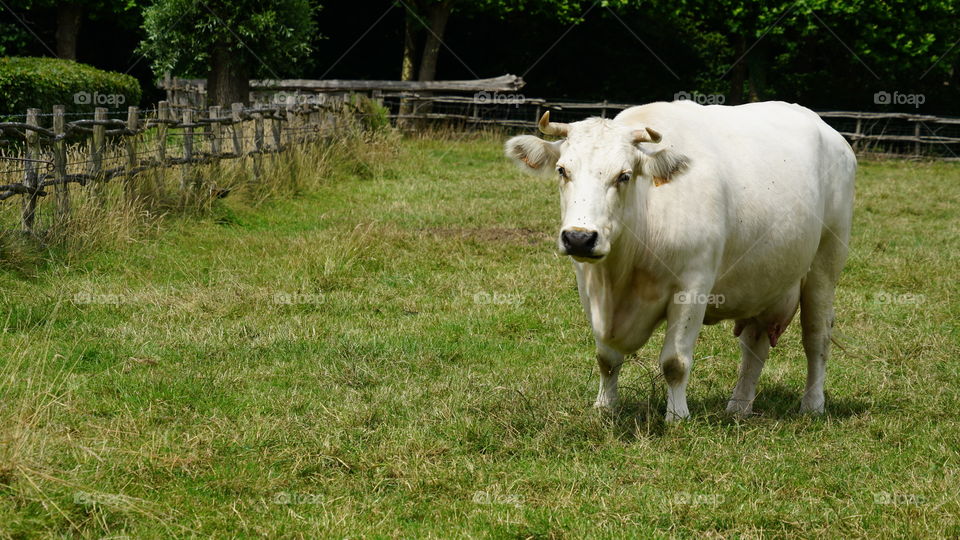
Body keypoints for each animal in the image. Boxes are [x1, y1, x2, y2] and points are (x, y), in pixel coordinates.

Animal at [504, 100, 855, 421]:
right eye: (563, 170)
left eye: (624, 176)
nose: (579, 237)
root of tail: (831, 132)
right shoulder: (589, 286)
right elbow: (606, 356)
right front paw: (605, 407)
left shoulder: (693, 285)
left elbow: (674, 362)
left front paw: (677, 416)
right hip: (764, 279)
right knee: (754, 345)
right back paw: (739, 407)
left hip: (825, 264)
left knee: (816, 337)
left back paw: (812, 405)